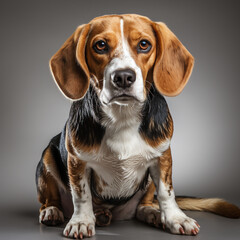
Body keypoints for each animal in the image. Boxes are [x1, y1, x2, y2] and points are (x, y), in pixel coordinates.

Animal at [35, 13, 240, 238]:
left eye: (144, 44)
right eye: (100, 45)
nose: (123, 77)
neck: (122, 115)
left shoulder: (163, 156)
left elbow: (166, 192)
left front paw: (176, 218)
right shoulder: (77, 161)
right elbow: (81, 195)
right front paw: (81, 221)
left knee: (143, 206)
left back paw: (151, 214)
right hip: (47, 158)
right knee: (49, 199)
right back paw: (55, 211)